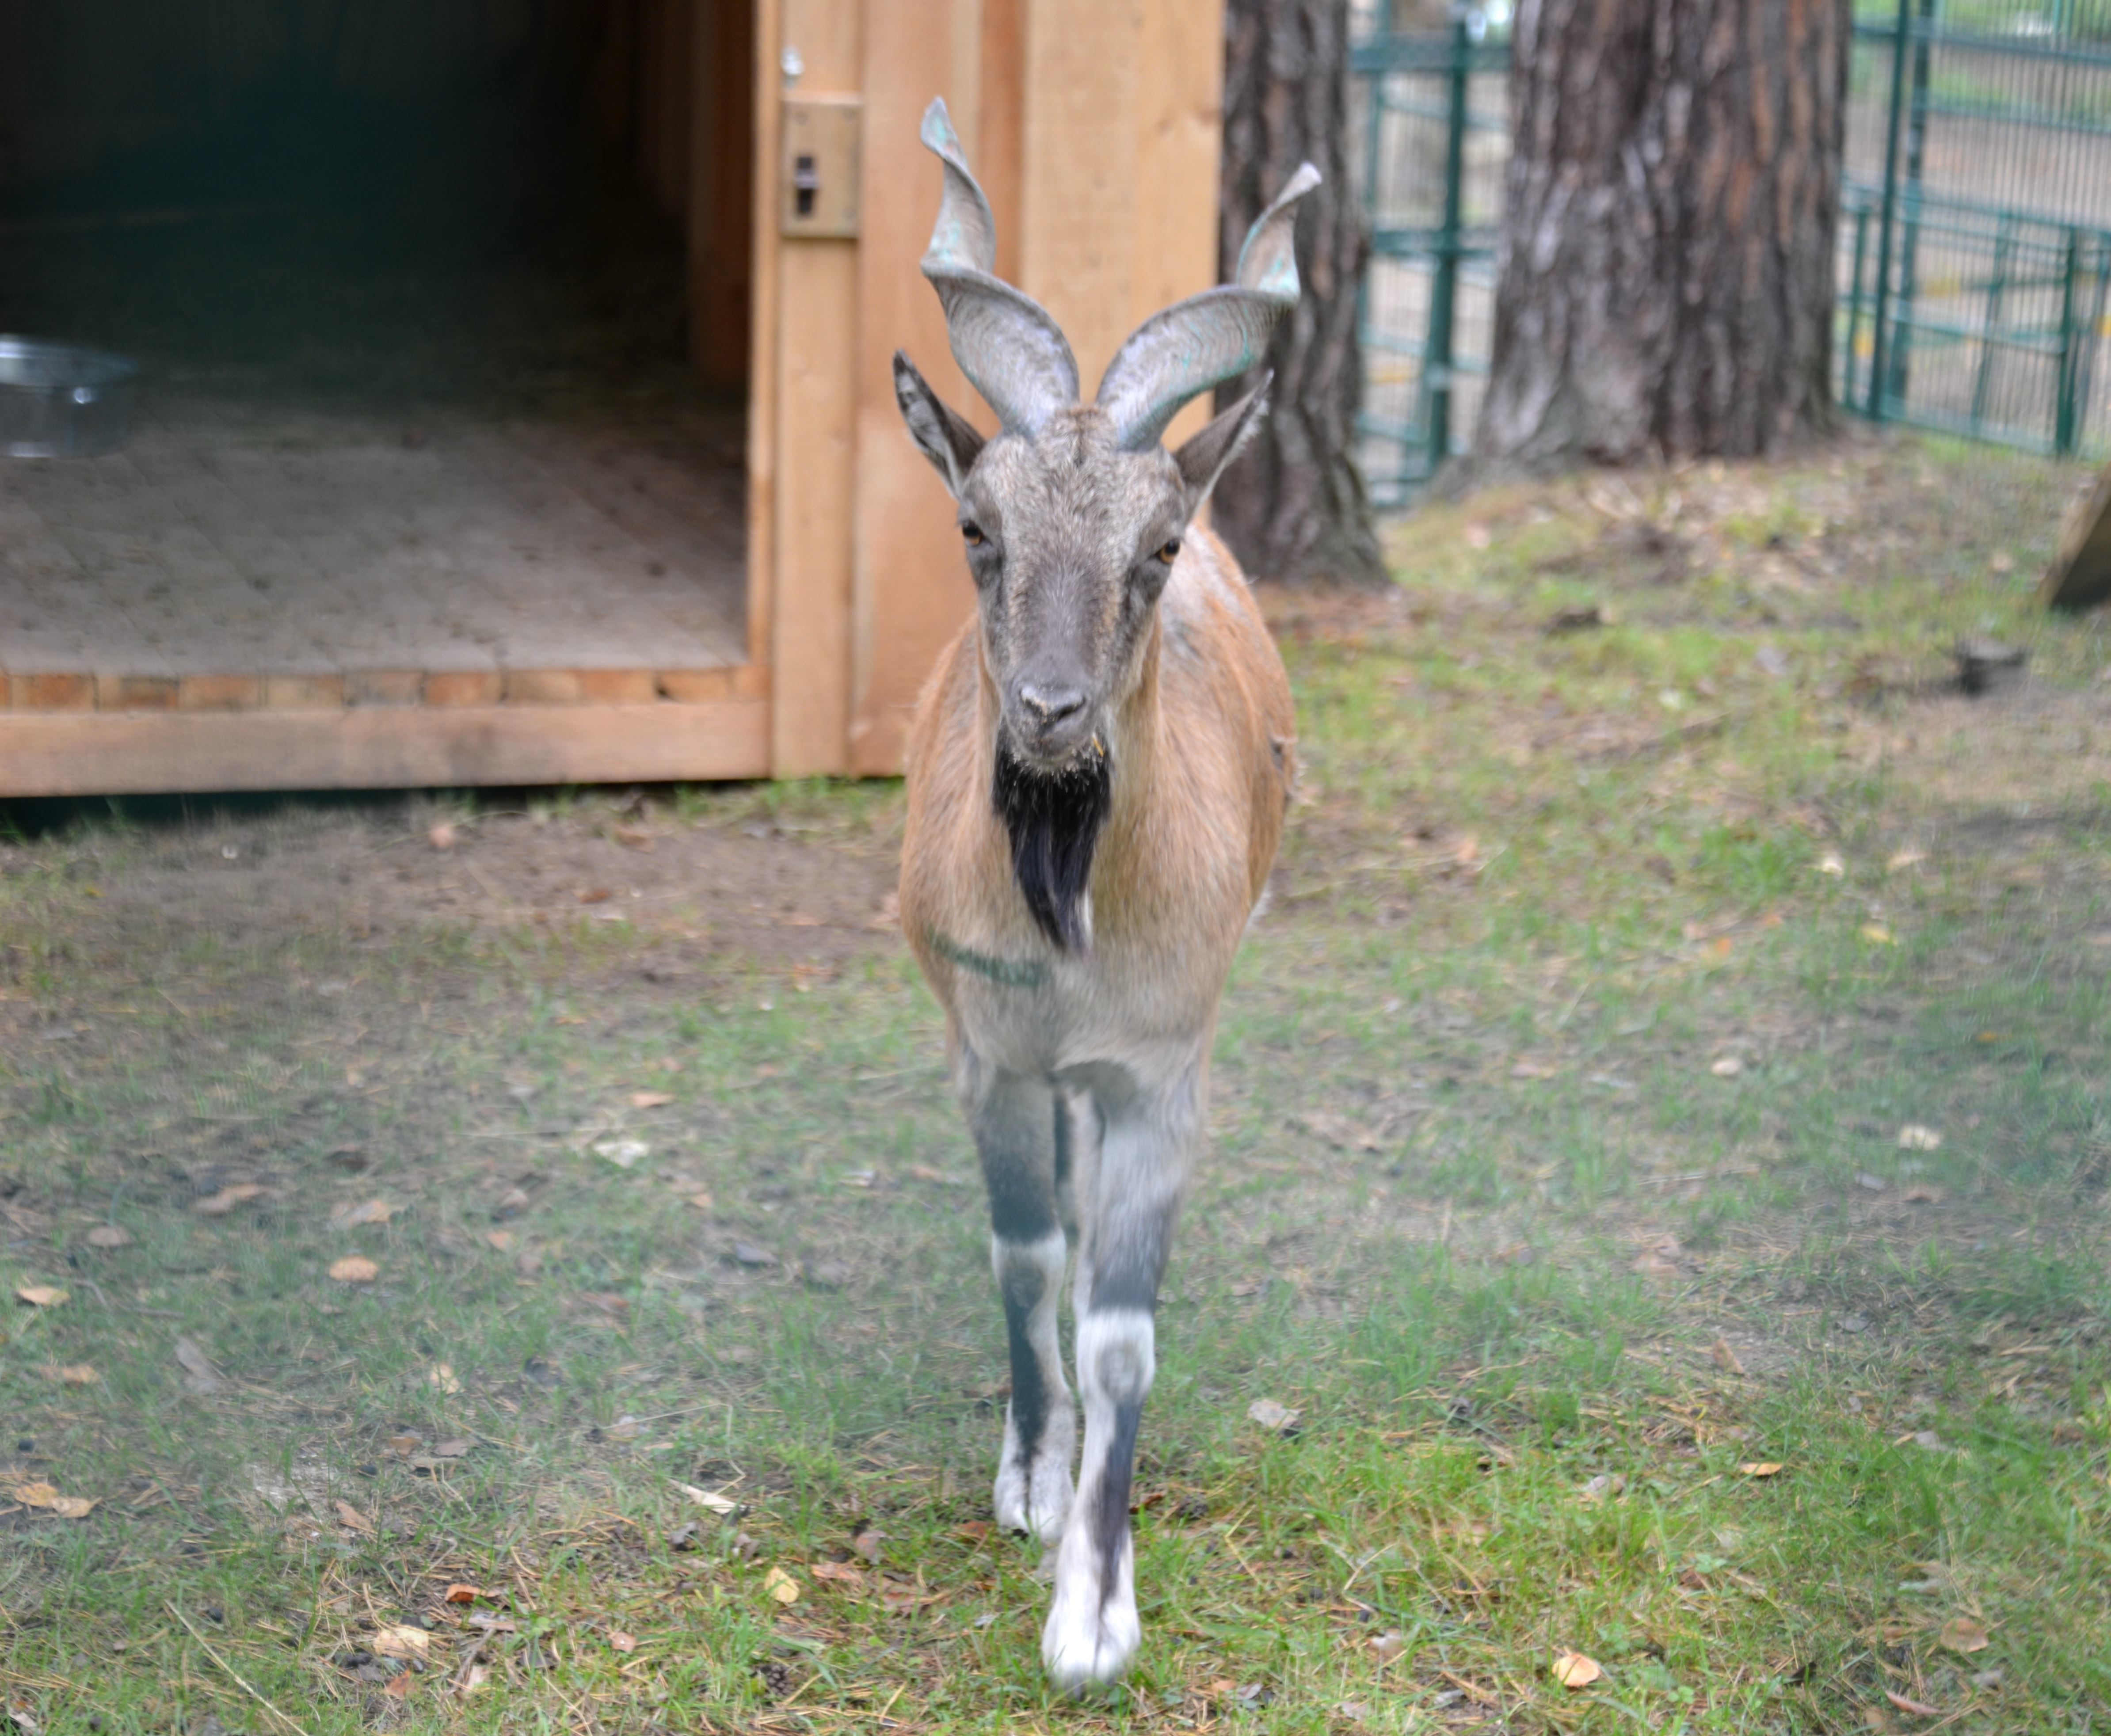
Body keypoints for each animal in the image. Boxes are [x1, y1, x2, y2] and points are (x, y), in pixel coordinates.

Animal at [891, 102, 1317, 1689]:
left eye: (1160, 545)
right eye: (975, 524)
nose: (1050, 712)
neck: (1074, 924)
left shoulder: (1161, 1068)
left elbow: (1121, 1327)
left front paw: (1092, 1607)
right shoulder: (992, 1051)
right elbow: (1026, 1260)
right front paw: (1032, 1470)